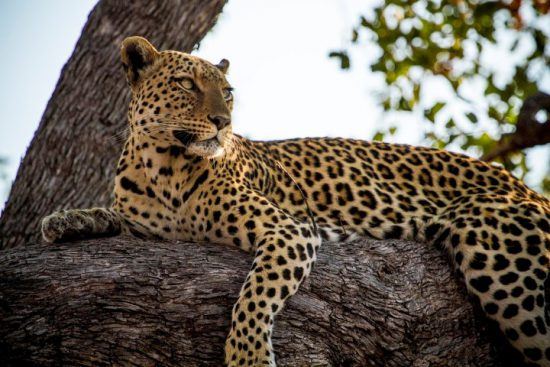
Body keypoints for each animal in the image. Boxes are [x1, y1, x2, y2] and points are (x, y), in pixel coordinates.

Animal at [43, 36, 550, 367]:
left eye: (228, 92)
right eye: (187, 84)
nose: (223, 122)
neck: (162, 164)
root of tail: (528, 189)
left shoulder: (289, 228)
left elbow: (254, 296)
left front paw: (247, 355)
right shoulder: (148, 226)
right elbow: (111, 216)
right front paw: (65, 221)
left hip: (497, 256)